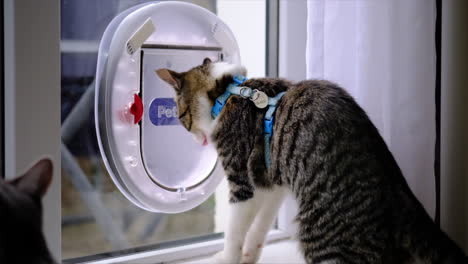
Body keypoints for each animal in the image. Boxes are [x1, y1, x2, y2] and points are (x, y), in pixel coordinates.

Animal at [157, 59, 468, 264]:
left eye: (180, 117)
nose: (196, 140)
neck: (228, 92)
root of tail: (401, 197)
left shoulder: (242, 180)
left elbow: (235, 231)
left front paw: (229, 257)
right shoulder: (272, 183)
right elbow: (260, 226)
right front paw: (249, 254)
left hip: (323, 239)